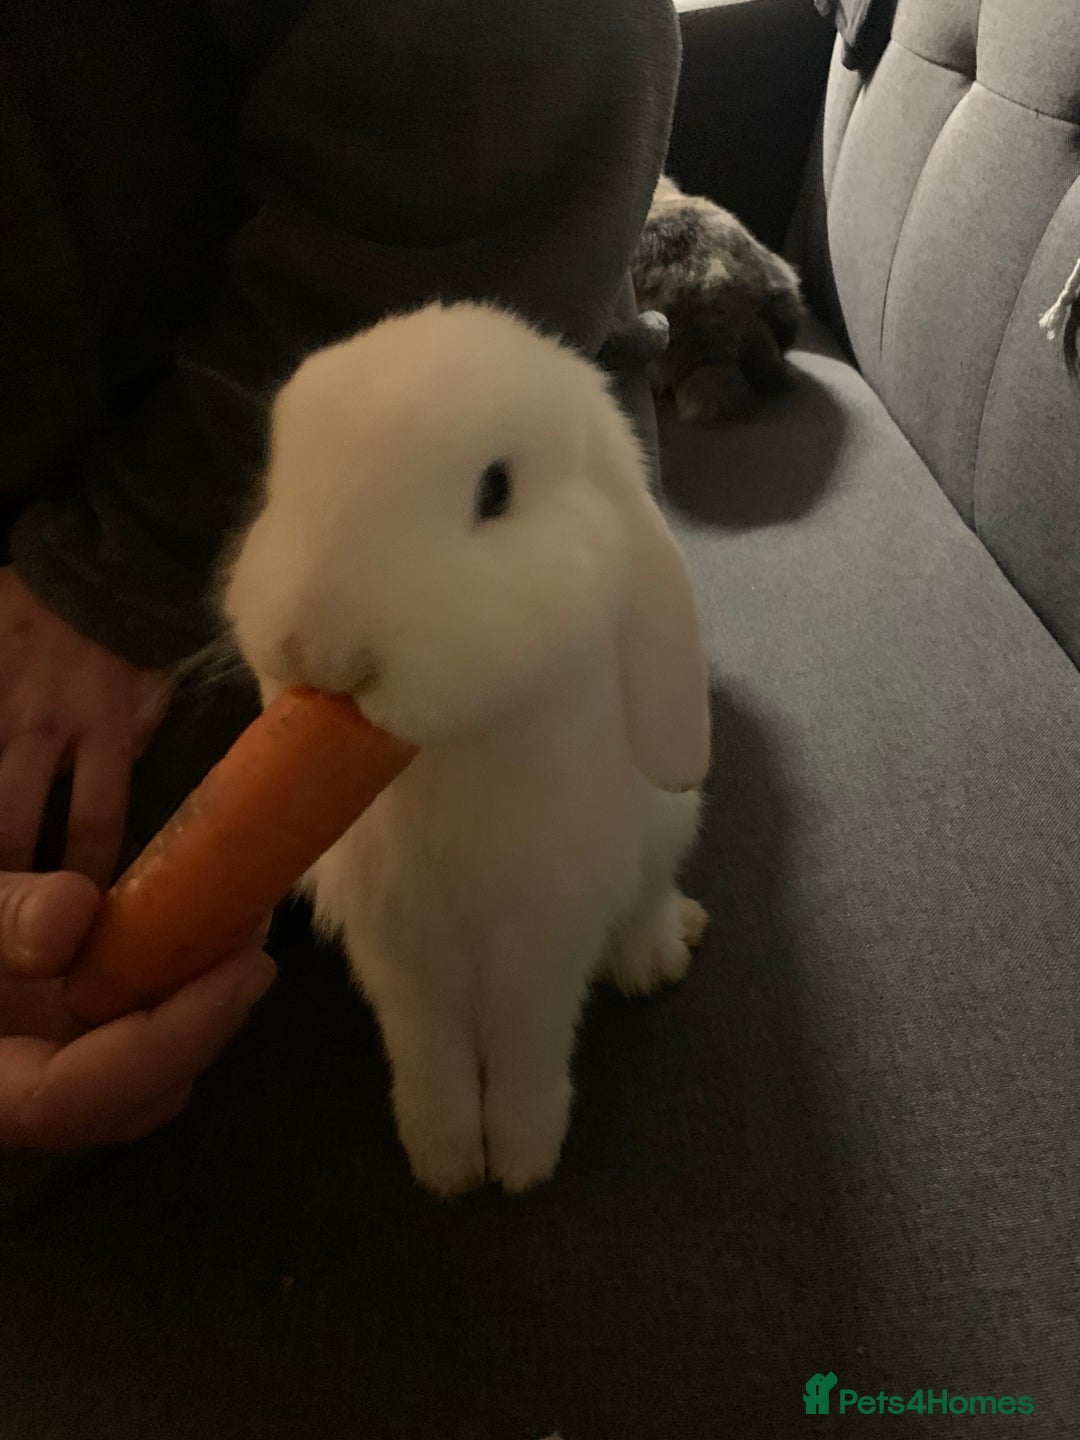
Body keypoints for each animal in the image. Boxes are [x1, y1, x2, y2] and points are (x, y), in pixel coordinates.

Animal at [222, 300, 711, 1198]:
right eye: (281, 475)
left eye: (497, 489)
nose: (327, 657)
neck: (457, 747)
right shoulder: (399, 947)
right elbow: (430, 1053)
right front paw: (445, 1162)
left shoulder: (545, 933)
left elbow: (528, 1047)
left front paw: (521, 1160)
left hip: (668, 820)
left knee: (650, 895)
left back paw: (659, 954)